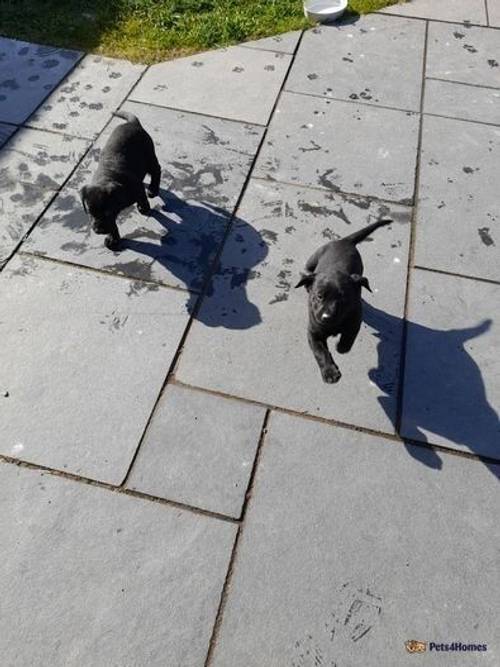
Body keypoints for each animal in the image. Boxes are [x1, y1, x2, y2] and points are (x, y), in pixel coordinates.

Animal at [80, 111, 160, 250]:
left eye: (107, 212)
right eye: (90, 212)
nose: (98, 230)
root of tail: (132, 123)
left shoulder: (136, 188)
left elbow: (142, 198)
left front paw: (144, 208)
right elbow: (112, 226)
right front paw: (113, 239)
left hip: (150, 156)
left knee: (157, 171)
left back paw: (153, 190)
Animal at [294, 220, 392, 386]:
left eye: (344, 299)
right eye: (319, 296)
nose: (327, 317)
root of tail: (344, 241)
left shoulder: (355, 319)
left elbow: (349, 336)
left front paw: (341, 347)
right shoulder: (313, 332)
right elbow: (320, 352)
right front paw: (330, 373)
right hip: (316, 255)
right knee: (308, 268)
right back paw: (306, 275)